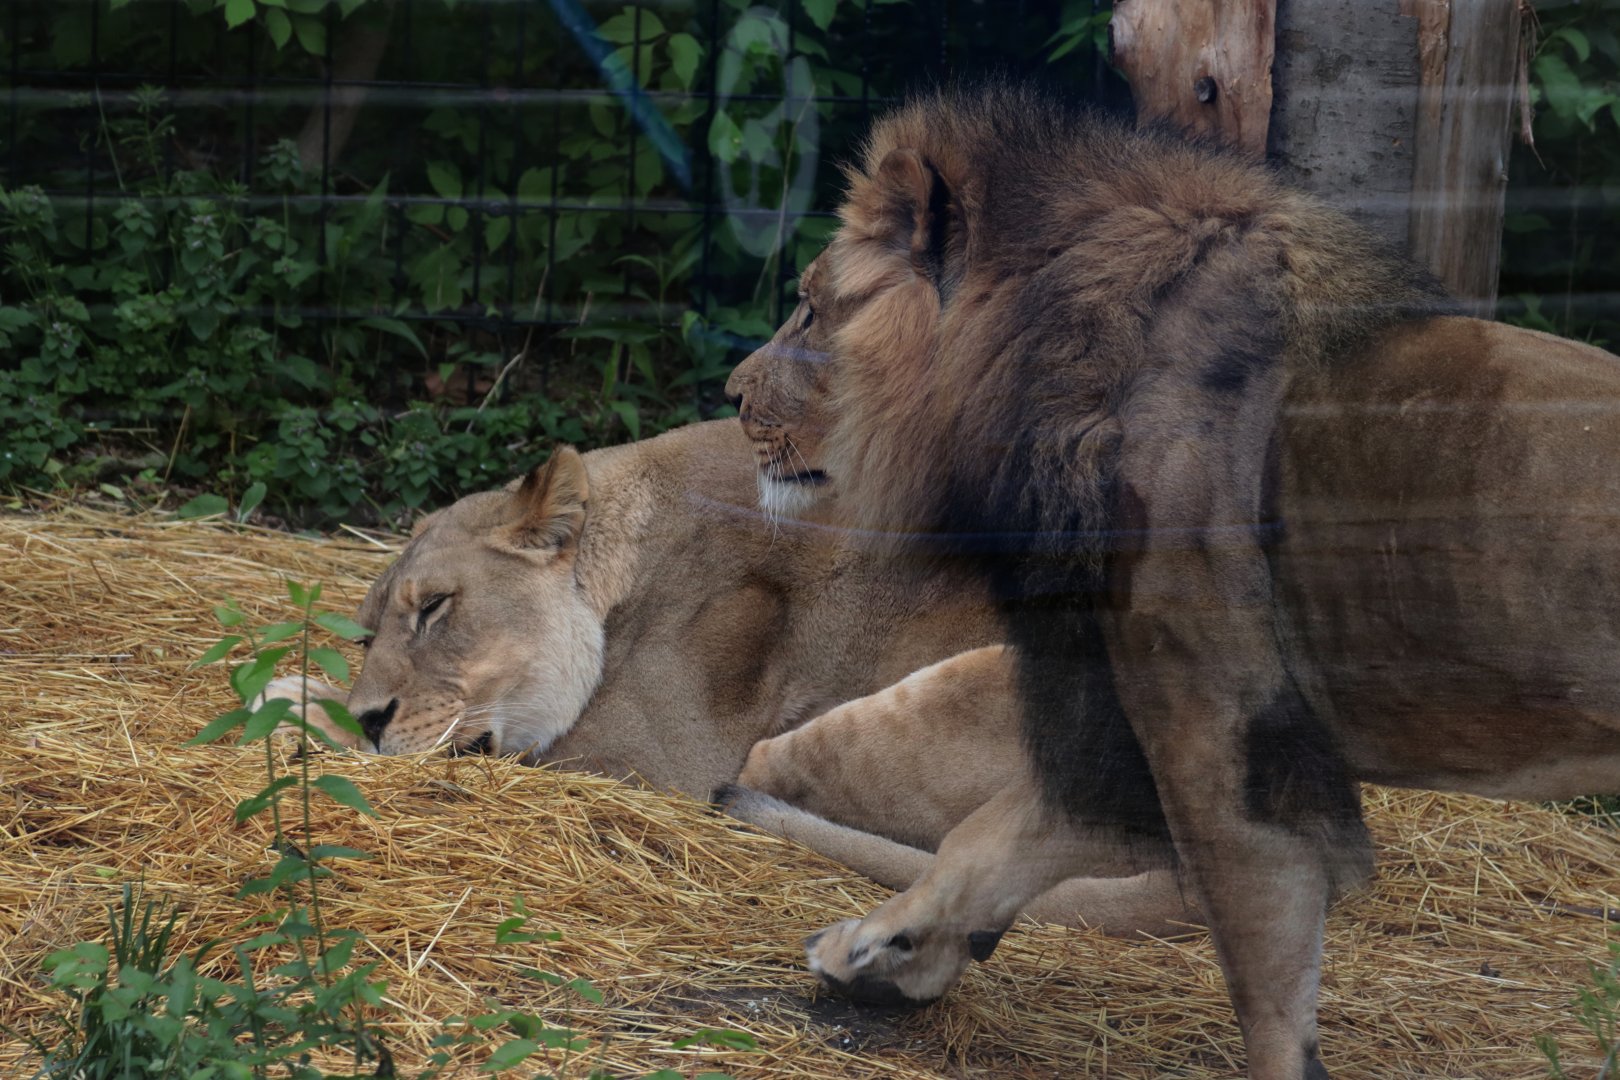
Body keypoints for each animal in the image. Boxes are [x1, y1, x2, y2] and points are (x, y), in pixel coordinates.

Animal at [724, 83, 1620, 1079]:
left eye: (809, 310)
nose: (732, 394)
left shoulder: (1223, 738)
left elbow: (1265, 987)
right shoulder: (1118, 712)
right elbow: (988, 838)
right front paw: (879, 955)